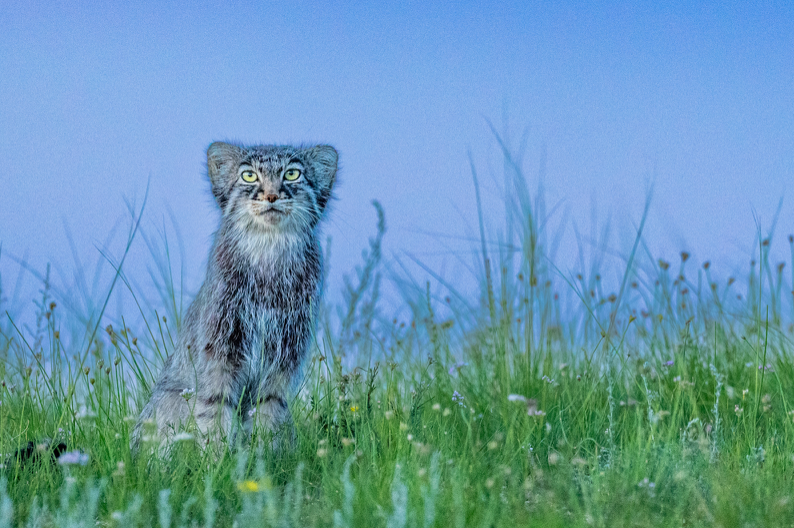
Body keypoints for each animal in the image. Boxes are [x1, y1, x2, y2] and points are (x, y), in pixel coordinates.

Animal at [131, 141, 336, 454]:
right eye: (249, 176)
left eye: (292, 174)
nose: (271, 195)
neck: (268, 257)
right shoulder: (220, 350)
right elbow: (215, 409)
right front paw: (218, 460)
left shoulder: (283, 356)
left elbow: (268, 412)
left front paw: (264, 458)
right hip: (172, 397)